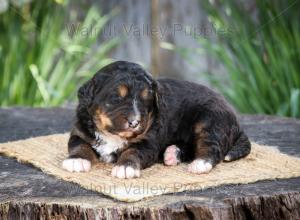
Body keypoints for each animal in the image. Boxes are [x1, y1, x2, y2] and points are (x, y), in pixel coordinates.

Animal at [61, 60, 251, 179]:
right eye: (116, 97)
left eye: (146, 99)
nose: (134, 122)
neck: (114, 136)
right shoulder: (80, 132)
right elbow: (80, 146)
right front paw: (77, 161)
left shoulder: (148, 142)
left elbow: (132, 151)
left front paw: (125, 167)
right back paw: (172, 154)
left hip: (209, 120)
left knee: (212, 147)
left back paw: (200, 164)